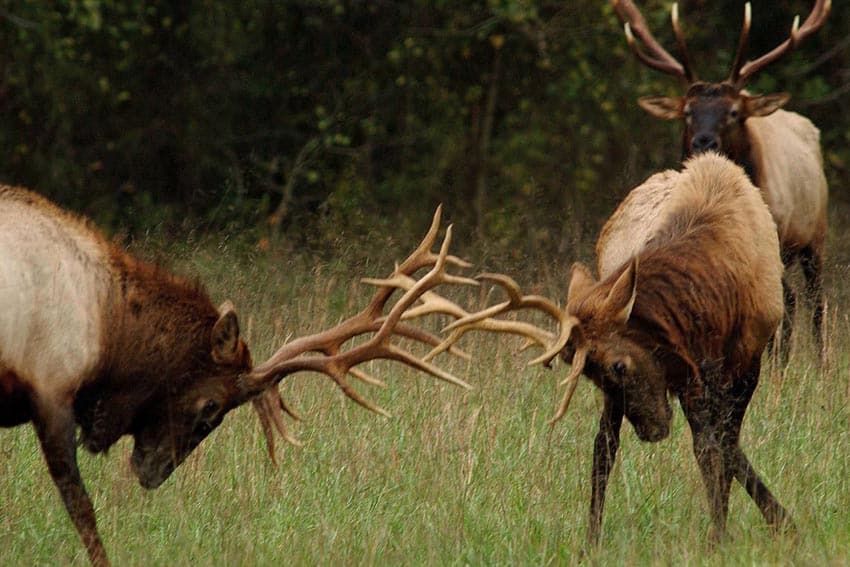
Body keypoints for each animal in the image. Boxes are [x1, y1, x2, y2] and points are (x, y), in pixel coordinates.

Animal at [434, 153, 792, 548]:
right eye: (591, 375)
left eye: (619, 366)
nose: (651, 431)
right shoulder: (690, 368)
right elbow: (709, 446)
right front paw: (729, 532)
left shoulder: (743, 362)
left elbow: (719, 445)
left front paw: (748, 527)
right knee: (605, 445)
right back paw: (591, 541)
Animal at [608, 0, 828, 362]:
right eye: (687, 112)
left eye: (733, 112)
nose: (704, 141)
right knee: (793, 301)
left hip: (815, 237)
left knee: (815, 302)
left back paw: (820, 362)